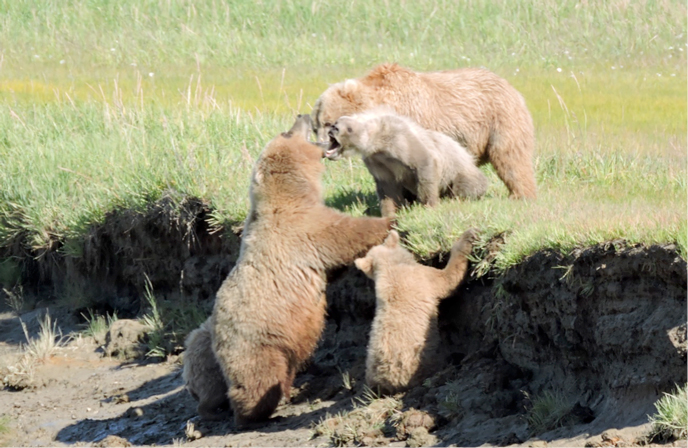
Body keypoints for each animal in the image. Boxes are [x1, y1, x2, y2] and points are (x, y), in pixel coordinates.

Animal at [210, 114, 392, 426]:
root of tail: (215, 338)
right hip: (255, 343)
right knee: (258, 379)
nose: (301, 116)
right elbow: (343, 232)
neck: (290, 194)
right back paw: (254, 411)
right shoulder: (301, 228)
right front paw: (390, 218)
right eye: (286, 132)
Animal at [312, 63, 536, 200]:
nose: (321, 149)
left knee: (510, 158)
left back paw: (521, 195)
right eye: (316, 126)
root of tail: (509, 86)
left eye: (329, 124)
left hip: (499, 120)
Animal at [326, 109, 486, 218]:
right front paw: (390, 212)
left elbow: (425, 167)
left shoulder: (402, 143)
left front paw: (428, 205)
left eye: (349, 128)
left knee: (466, 185)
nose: (333, 128)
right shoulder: (378, 162)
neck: (378, 145)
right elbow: (387, 188)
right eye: (336, 122)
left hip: (460, 171)